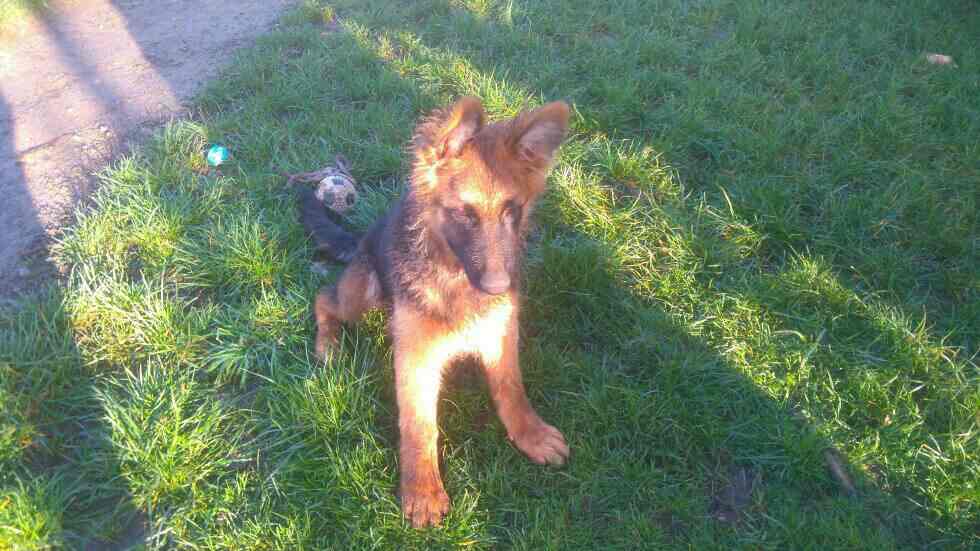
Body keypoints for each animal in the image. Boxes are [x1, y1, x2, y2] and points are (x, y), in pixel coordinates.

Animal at [301, 96, 571, 527]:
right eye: (465, 214)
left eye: (512, 211)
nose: (499, 287)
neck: (455, 278)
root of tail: (366, 236)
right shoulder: (416, 359)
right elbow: (418, 425)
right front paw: (423, 490)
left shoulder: (500, 335)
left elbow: (511, 389)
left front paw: (530, 434)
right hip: (363, 292)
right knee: (324, 298)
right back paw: (329, 343)